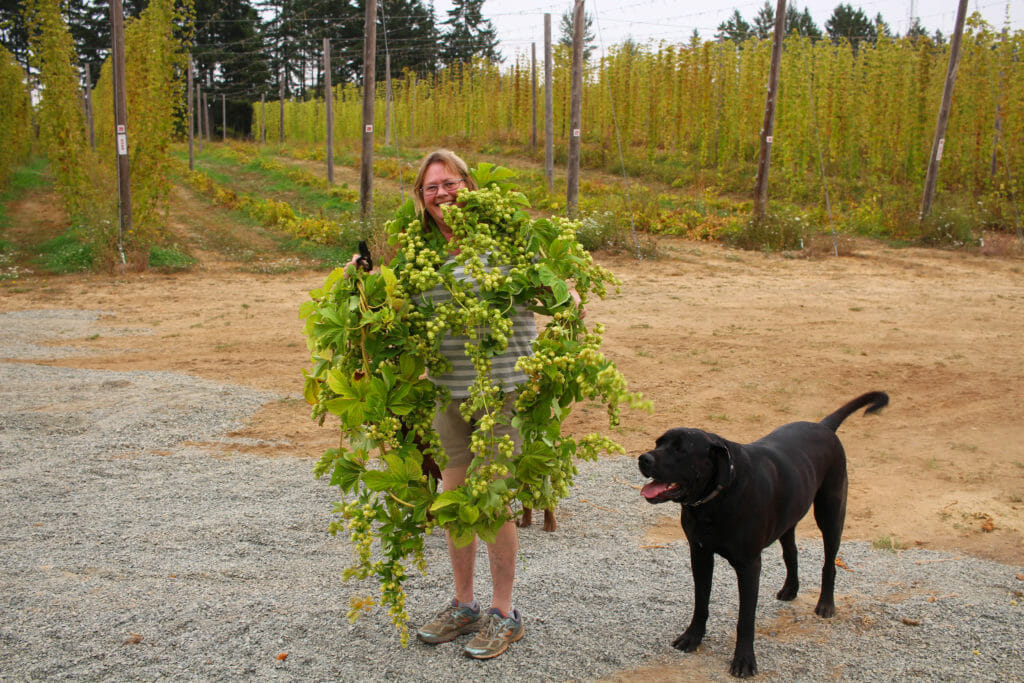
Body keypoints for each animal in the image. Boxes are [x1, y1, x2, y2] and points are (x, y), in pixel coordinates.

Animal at [638, 393, 888, 675]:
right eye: (659, 442)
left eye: (680, 450)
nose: (644, 458)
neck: (716, 498)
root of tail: (823, 426)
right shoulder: (700, 554)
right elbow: (701, 602)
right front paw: (693, 637)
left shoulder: (749, 566)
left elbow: (745, 618)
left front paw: (744, 659)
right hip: (789, 518)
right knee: (791, 553)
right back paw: (790, 588)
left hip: (831, 514)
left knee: (829, 563)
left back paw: (825, 604)